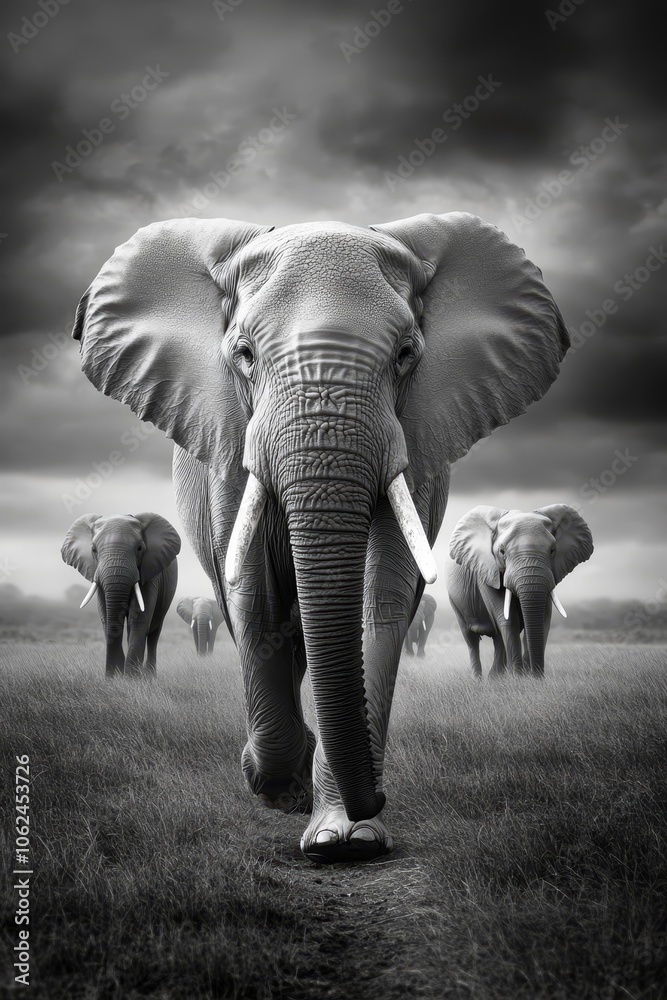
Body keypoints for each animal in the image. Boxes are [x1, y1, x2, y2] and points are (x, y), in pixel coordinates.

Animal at [62, 513, 180, 677]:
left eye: (139, 548)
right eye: (93, 549)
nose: (116, 673)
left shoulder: (149, 572)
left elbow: (139, 618)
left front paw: (131, 679)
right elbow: (106, 617)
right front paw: (114, 677)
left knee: (154, 633)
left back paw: (149, 676)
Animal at [446, 505, 593, 678]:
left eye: (552, 550)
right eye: (502, 551)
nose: (536, 674)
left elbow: (544, 618)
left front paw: (531, 678)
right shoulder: (487, 571)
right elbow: (509, 619)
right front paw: (518, 677)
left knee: (498, 638)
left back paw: (495, 678)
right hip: (455, 602)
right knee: (472, 640)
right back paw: (479, 679)